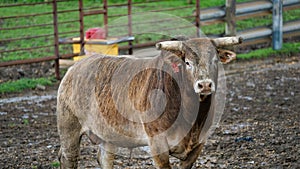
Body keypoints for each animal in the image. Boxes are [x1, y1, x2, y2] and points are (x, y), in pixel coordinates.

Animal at [57, 36, 243, 168]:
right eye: (187, 63)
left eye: (215, 60)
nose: (204, 84)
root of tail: (76, 66)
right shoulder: (158, 146)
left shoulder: (197, 147)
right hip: (69, 129)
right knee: (68, 158)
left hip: (108, 135)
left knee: (105, 159)